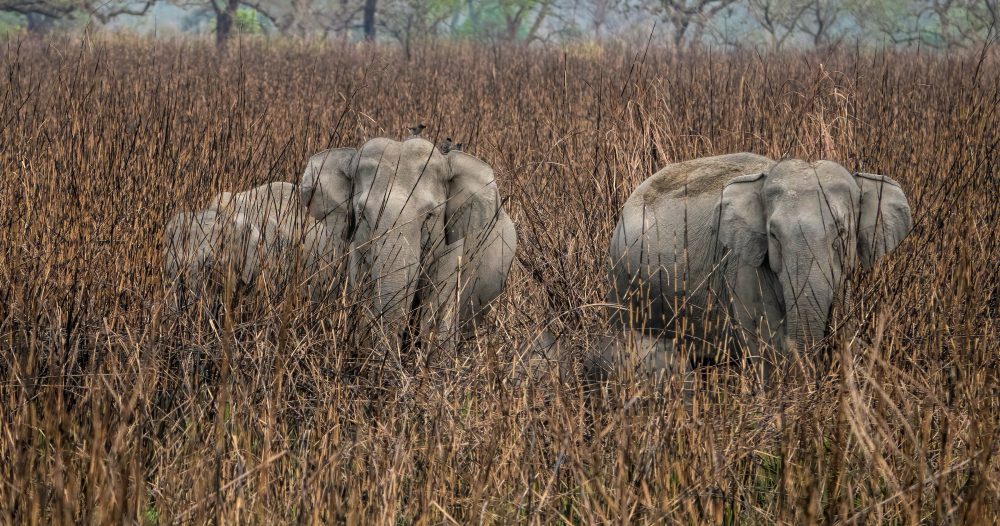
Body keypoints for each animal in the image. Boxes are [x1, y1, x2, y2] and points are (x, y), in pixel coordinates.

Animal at [608, 154, 916, 384]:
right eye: (774, 236)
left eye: (841, 234)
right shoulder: (743, 266)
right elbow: (765, 344)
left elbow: (842, 327)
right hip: (623, 283)